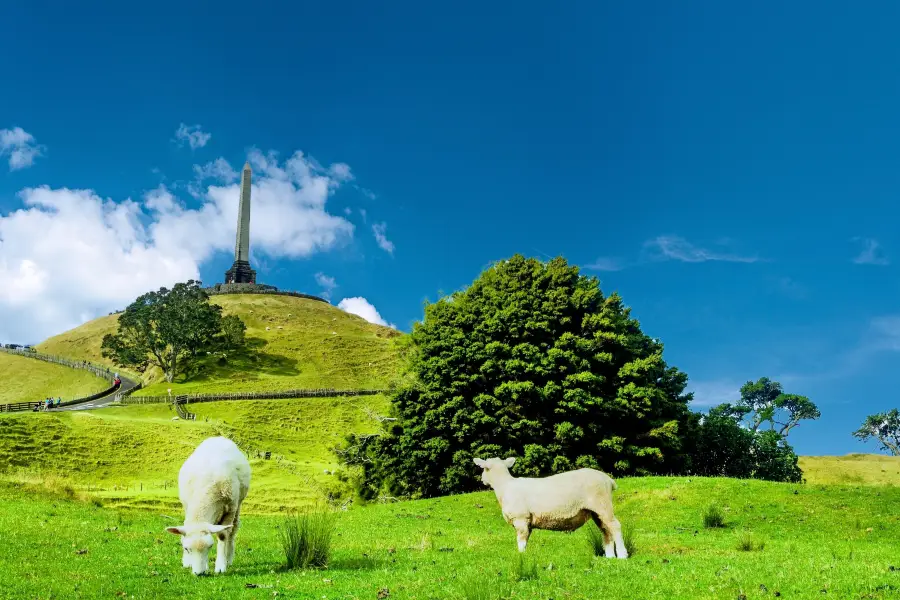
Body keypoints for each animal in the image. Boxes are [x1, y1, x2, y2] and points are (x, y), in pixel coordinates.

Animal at [163, 438, 250, 576]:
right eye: (186, 548)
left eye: (210, 547)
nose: (199, 573)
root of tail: (218, 438)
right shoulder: (187, 506)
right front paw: (188, 562)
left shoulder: (230, 509)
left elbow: (223, 535)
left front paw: (220, 566)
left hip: (238, 504)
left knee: (233, 529)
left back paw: (229, 558)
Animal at [474, 460, 628, 556]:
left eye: (483, 469)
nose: (481, 480)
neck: (504, 486)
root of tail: (608, 480)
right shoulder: (527, 522)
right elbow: (526, 540)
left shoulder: (521, 518)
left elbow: (521, 541)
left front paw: (521, 556)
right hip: (596, 510)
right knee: (606, 530)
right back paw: (609, 557)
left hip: (602, 503)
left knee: (615, 526)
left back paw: (622, 555)